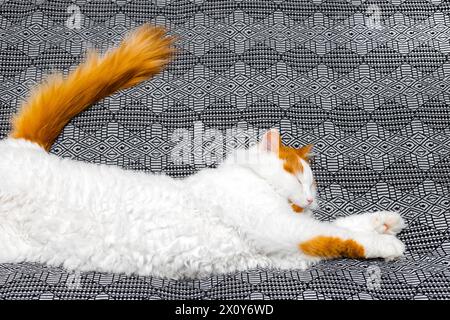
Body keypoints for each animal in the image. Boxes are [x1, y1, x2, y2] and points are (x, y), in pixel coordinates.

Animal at [0, 24, 406, 278]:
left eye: (313, 186)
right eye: (298, 176)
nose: (310, 199)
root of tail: (27, 148)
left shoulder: (290, 247)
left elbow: (338, 227)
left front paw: (383, 221)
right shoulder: (280, 227)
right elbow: (340, 236)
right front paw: (386, 243)